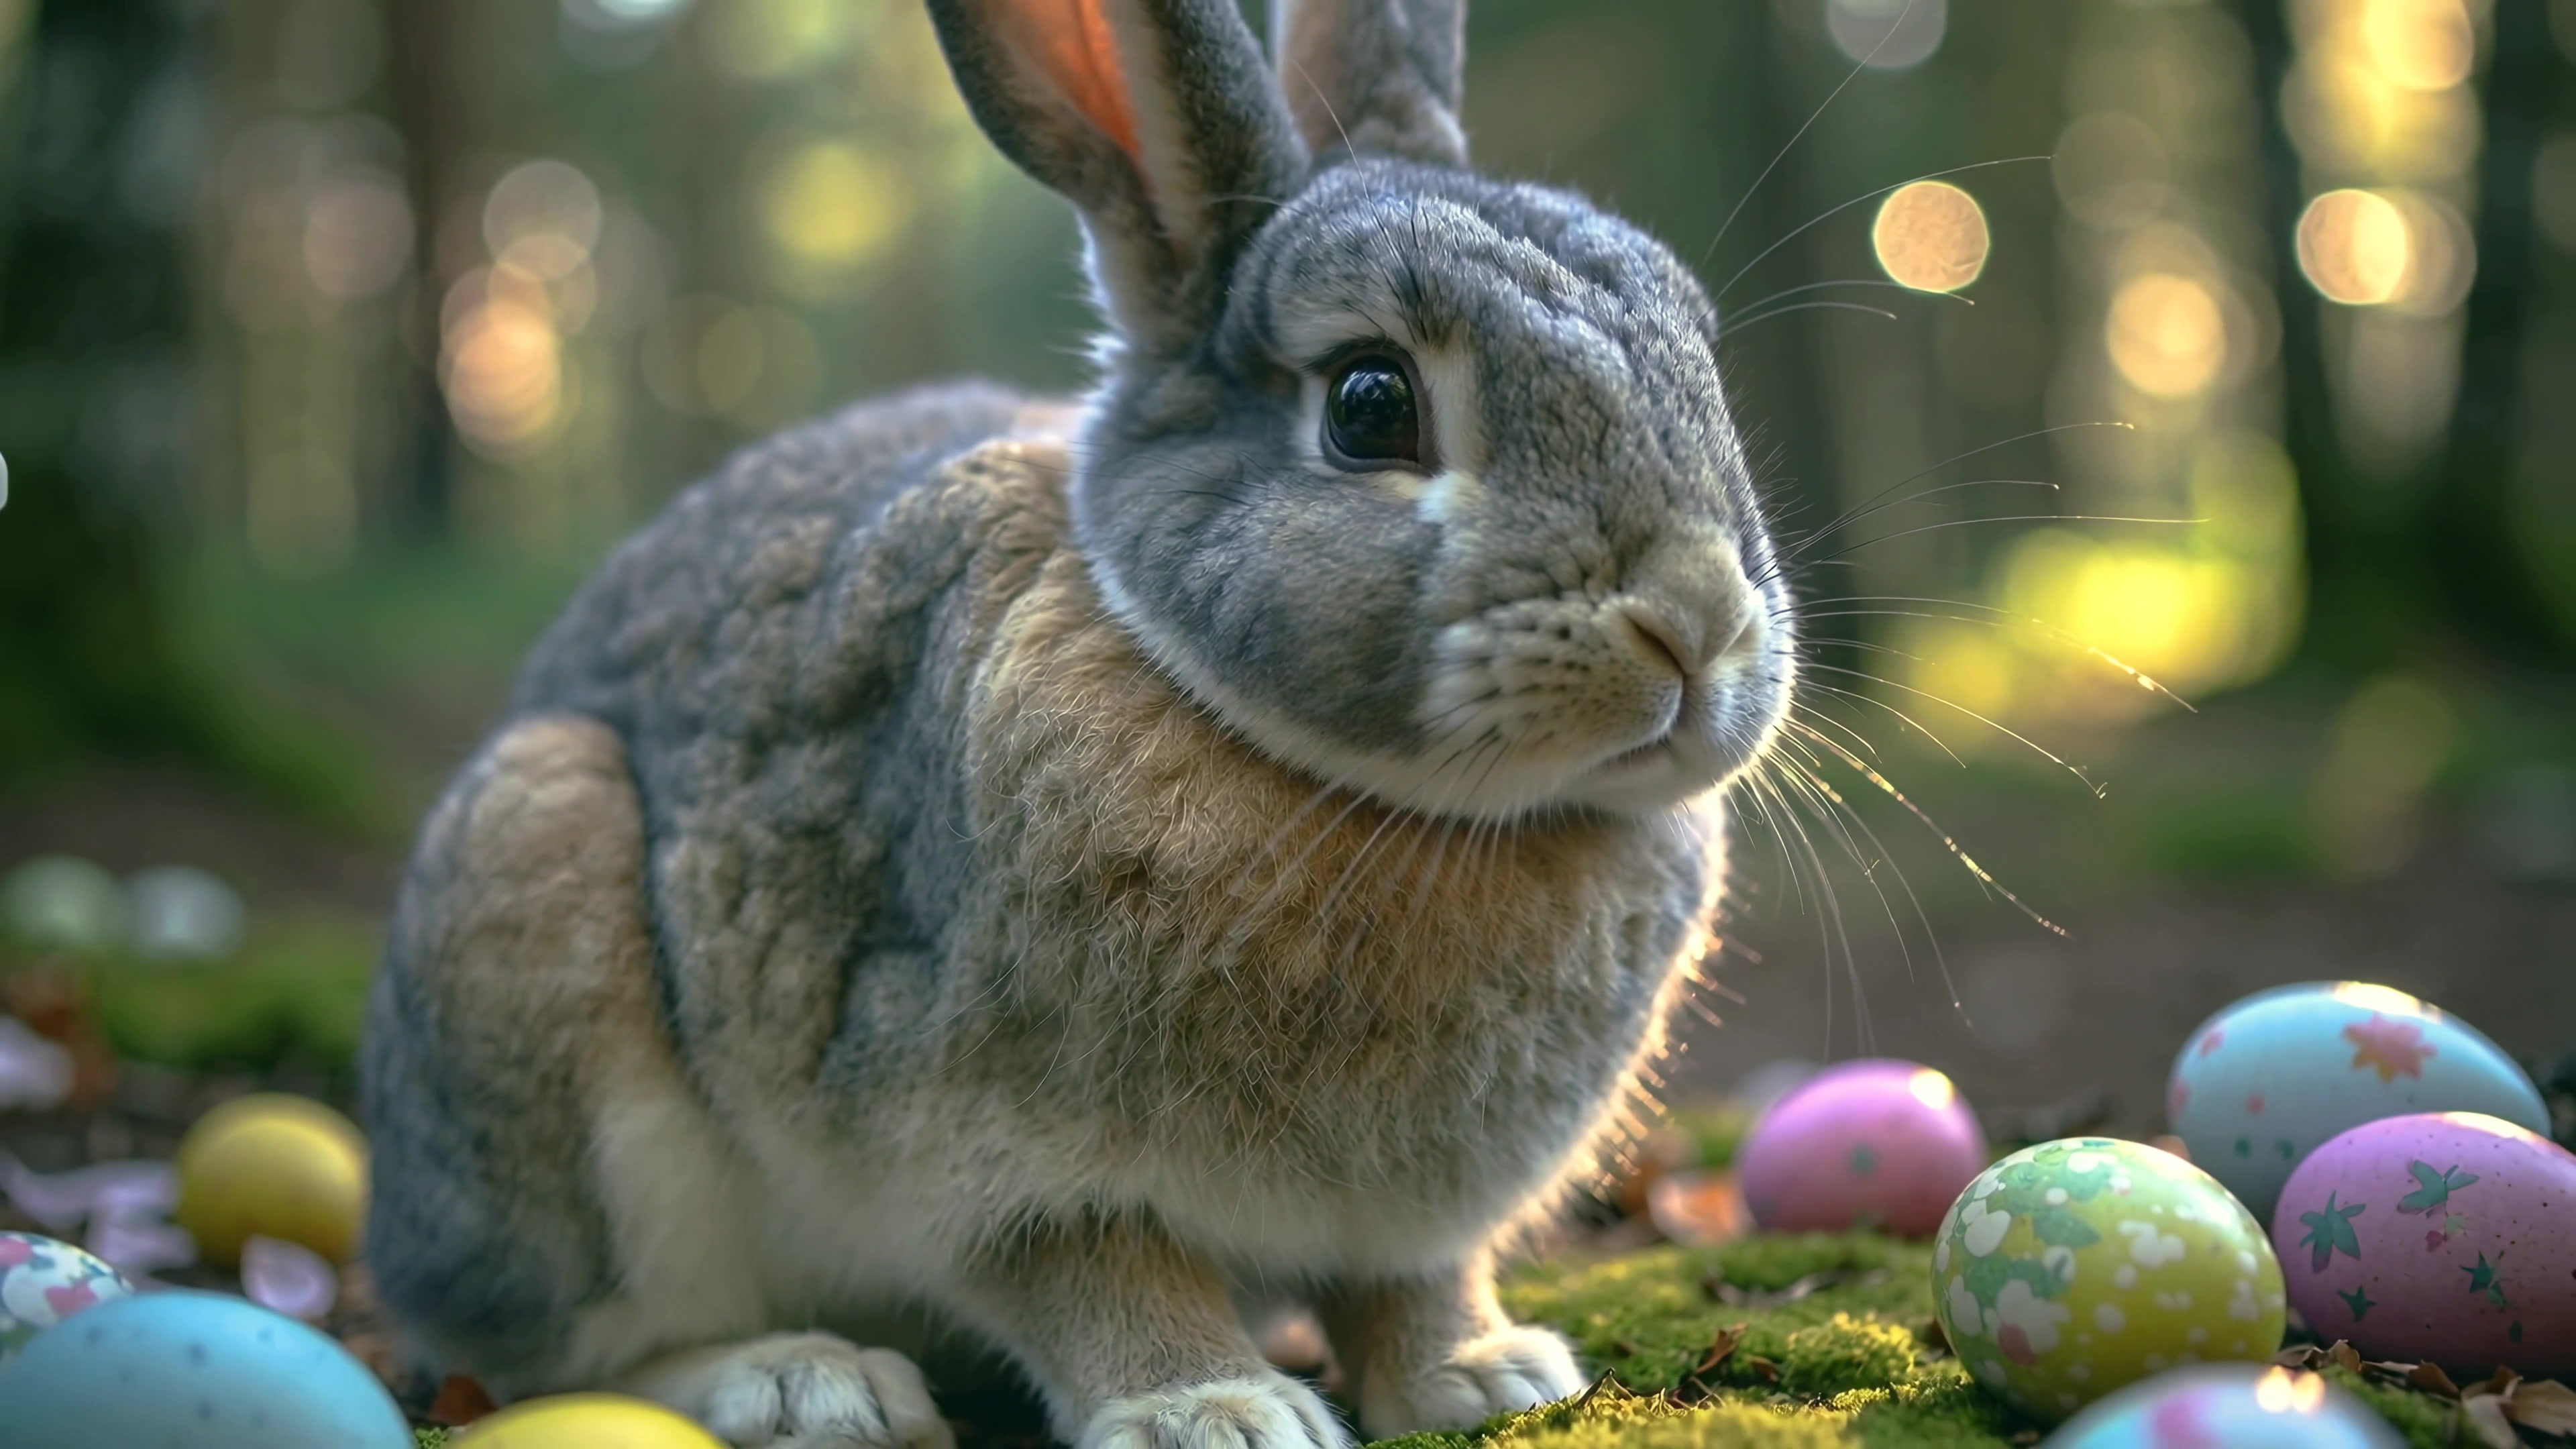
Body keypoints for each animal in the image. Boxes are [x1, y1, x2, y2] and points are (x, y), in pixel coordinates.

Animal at [357, 0, 1797, 1446]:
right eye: (1369, 402)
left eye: (1698, 359)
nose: (1697, 618)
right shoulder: (989, 1151)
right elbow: (1098, 1273)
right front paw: (1215, 1410)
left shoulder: (1408, 1225)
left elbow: (1410, 1286)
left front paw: (1483, 1375)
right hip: (539, 903)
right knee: (568, 1347)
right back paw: (803, 1381)